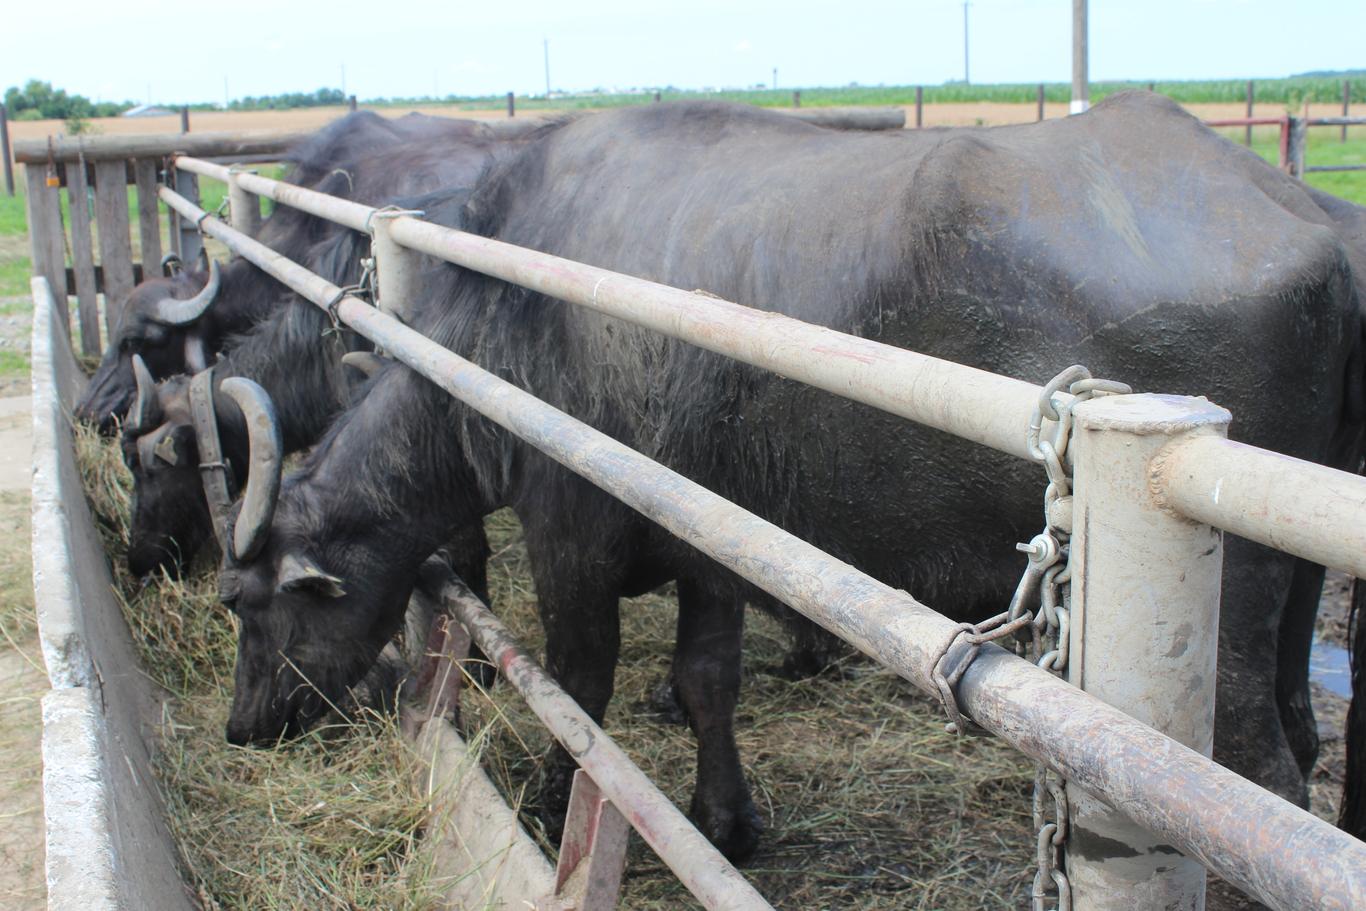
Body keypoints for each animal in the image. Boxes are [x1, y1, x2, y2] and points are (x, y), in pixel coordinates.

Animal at [213, 96, 1366, 857]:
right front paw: (726, 818)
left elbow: (579, 686)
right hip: (1295, 590)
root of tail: (1309, 221)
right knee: (1306, 731)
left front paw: (551, 796)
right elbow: (705, 680)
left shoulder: (569, 531)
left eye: (254, 602)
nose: (242, 724)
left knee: (1259, 781)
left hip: (1221, 625)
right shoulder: (714, 540)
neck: (506, 328)